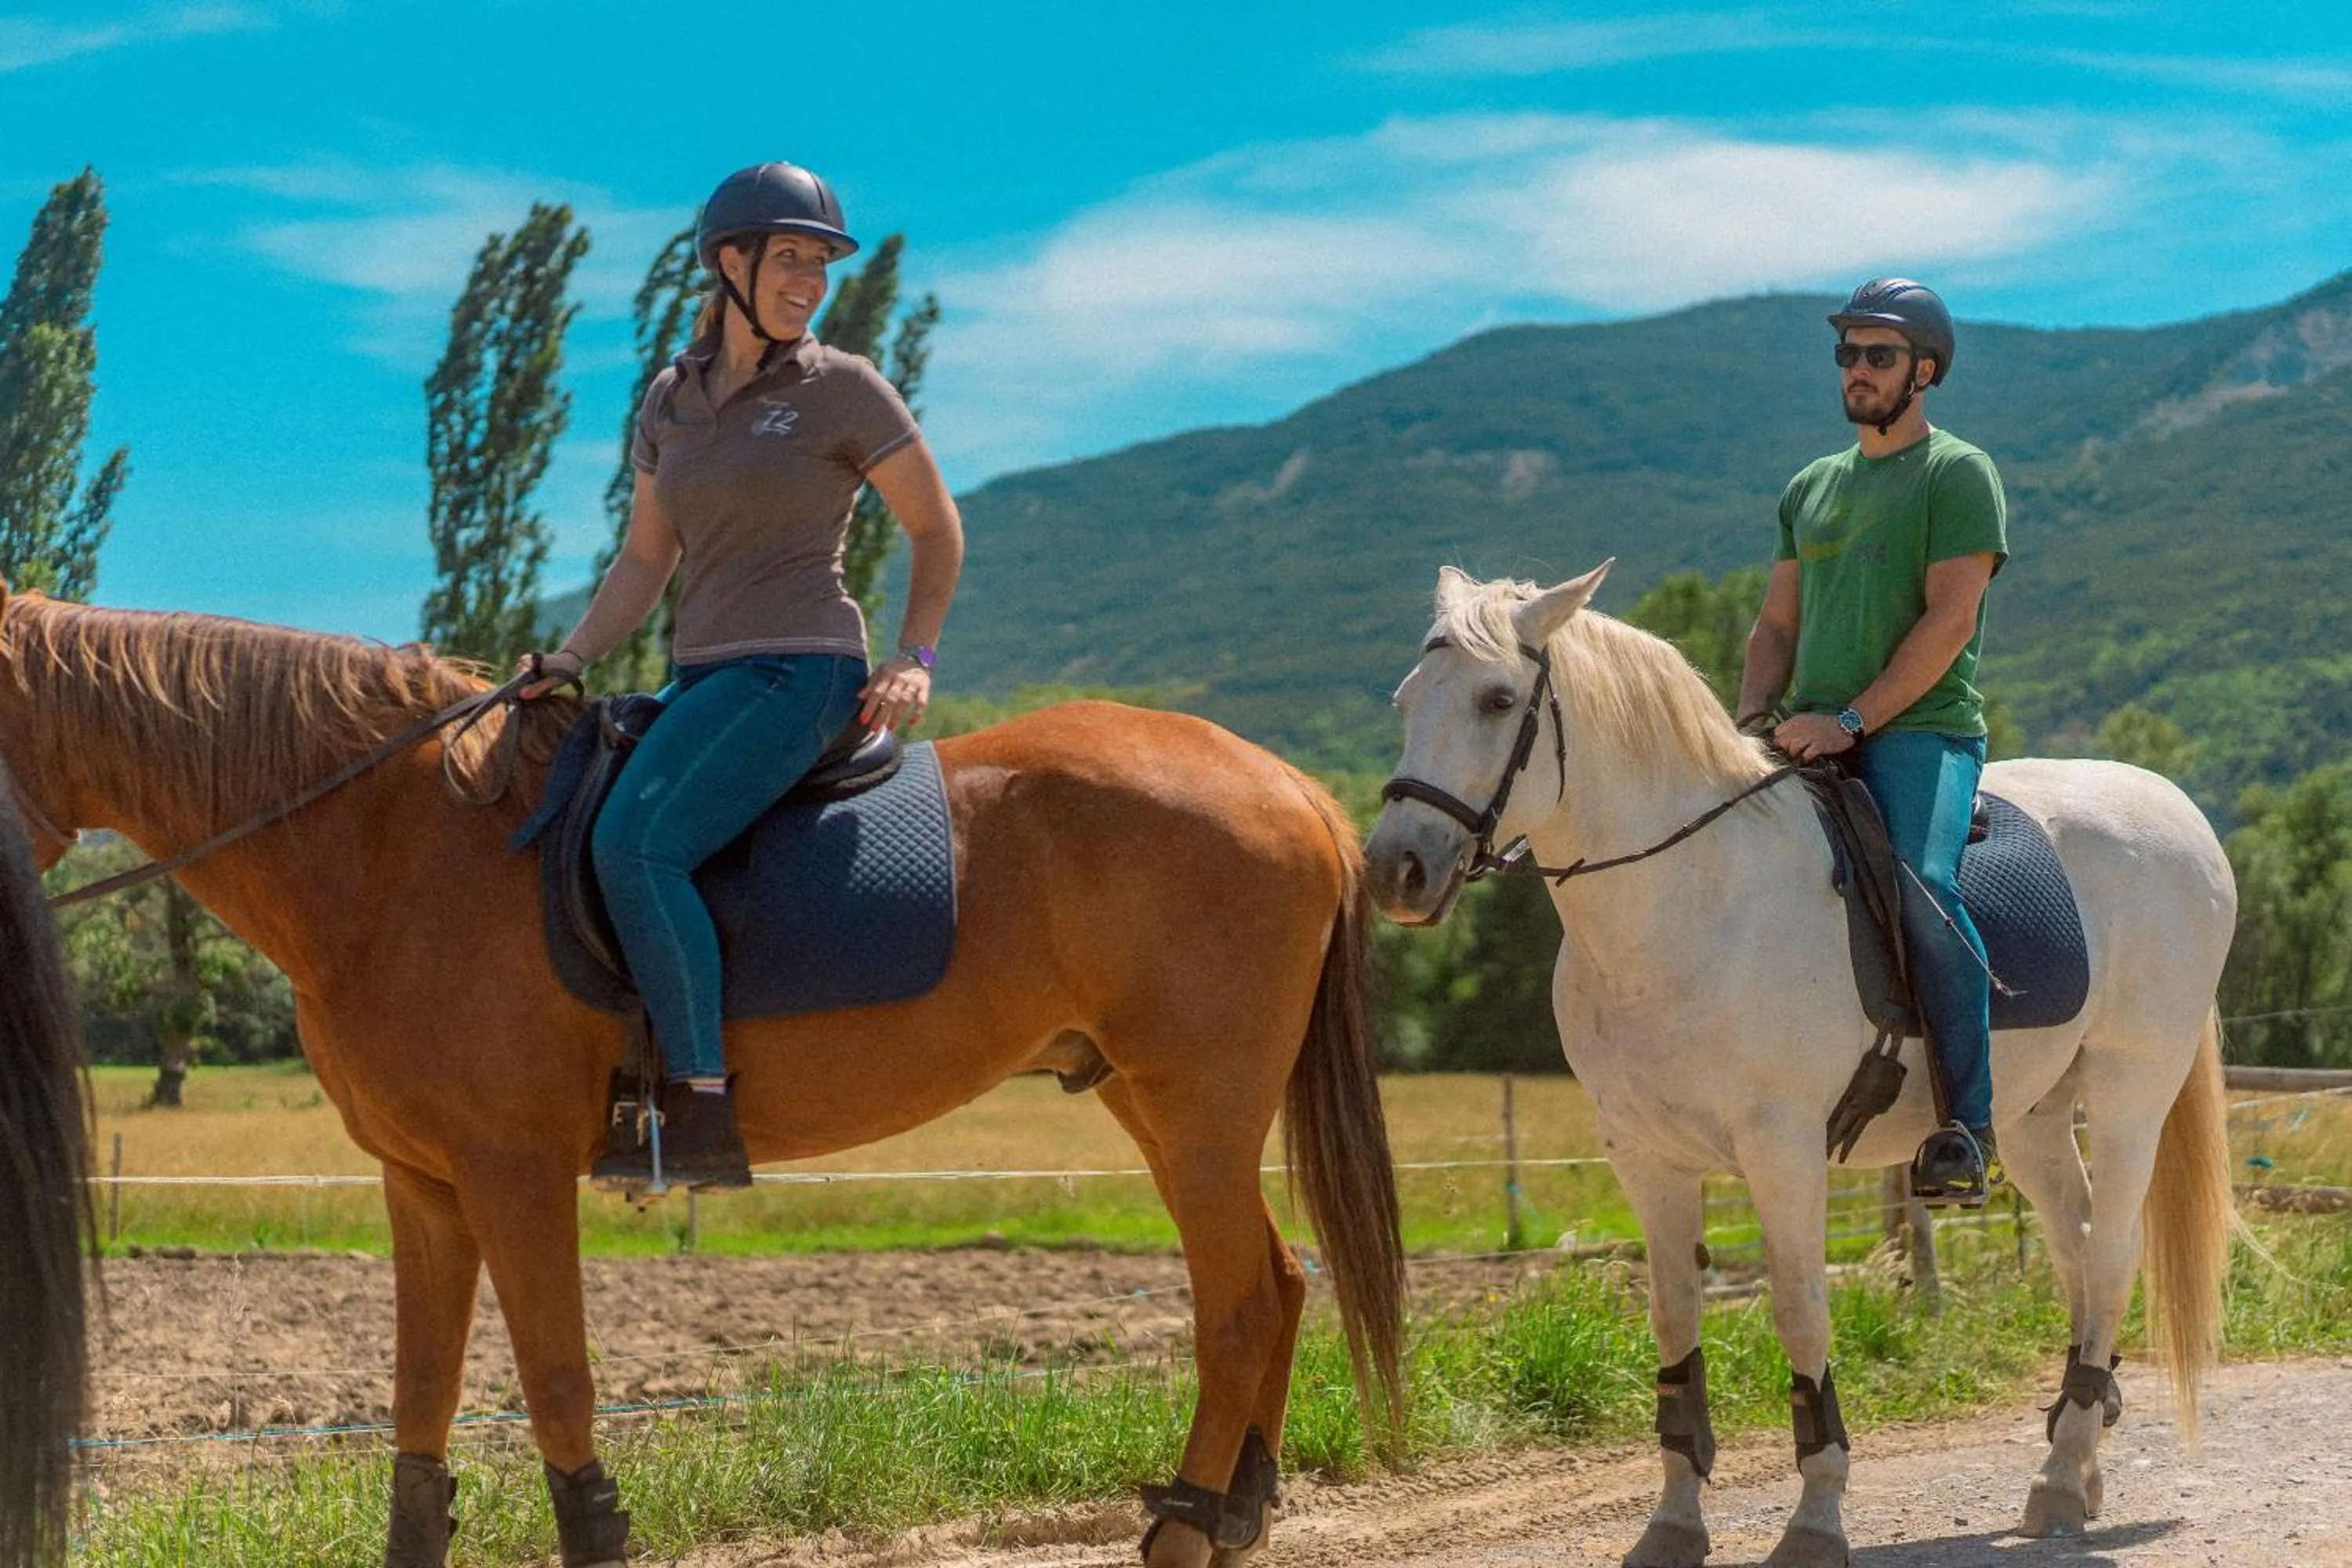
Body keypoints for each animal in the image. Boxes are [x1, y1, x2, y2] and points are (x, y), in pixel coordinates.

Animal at [0, 588, 1405, 1568]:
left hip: (1196, 1106)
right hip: (1153, 1100)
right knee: (1279, 1280)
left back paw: (1188, 1525)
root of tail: (1292, 787)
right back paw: (1233, 1512)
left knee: (1240, 1303)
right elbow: (421, 1410)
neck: (395, 846)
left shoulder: (515, 1175)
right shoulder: (425, 1186)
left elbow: (559, 1392)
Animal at [1363, 564, 2236, 1568]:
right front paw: (1673, 1522)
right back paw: (2075, 1464)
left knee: (2114, 1251)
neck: (1691, 899)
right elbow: (1675, 1317)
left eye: (1499, 700)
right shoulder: (1646, 1157)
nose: (1395, 869)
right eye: (1406, 699)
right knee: (2079, 1249)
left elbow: (1800, 1312)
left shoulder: (1782, 1151)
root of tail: (2177, 809)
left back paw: (2058, 1479)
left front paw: (1816, 1517)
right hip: (2033, 1116)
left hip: (2133, 1087)